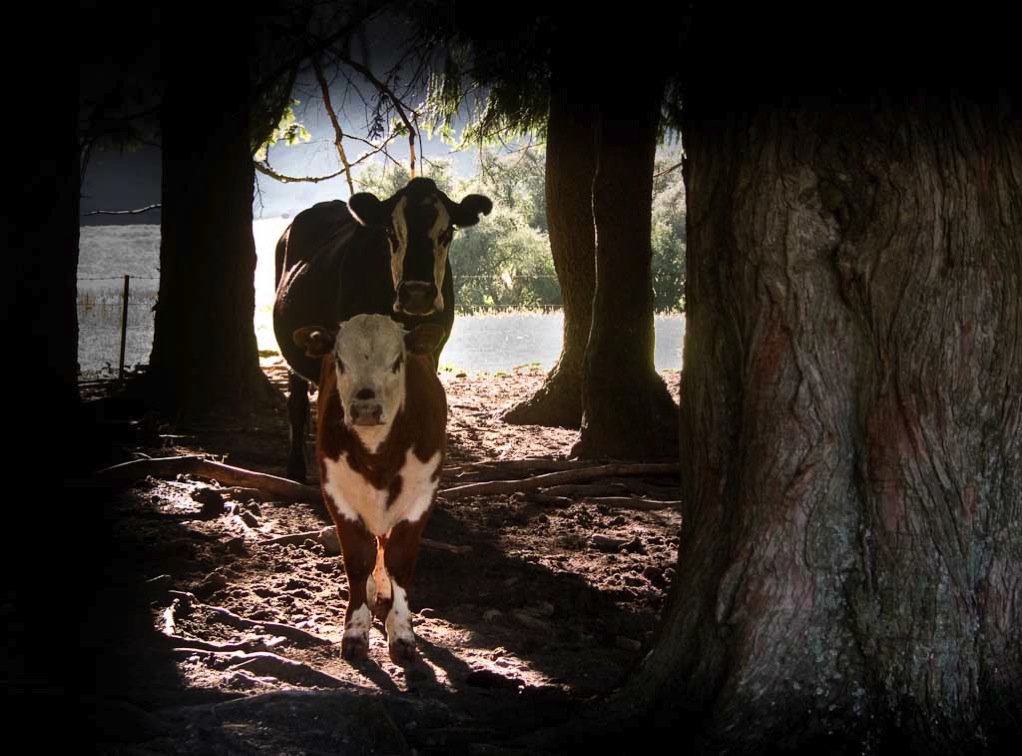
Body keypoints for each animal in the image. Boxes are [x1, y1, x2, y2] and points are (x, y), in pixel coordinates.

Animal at [273, 177, 492, 482]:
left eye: (446, 232)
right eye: (391, 231)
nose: (417, 293)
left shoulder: (431, 353)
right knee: (297, 404)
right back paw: (296, 469)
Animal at [293, 314, 447, 663]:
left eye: (398, 360)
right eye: (339, 359)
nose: (366, 409)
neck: (378, 458)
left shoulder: (421, 496)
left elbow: (398, 560)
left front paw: (401, 633)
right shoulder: (336, 493)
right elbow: (358, 560)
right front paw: (355, 632)